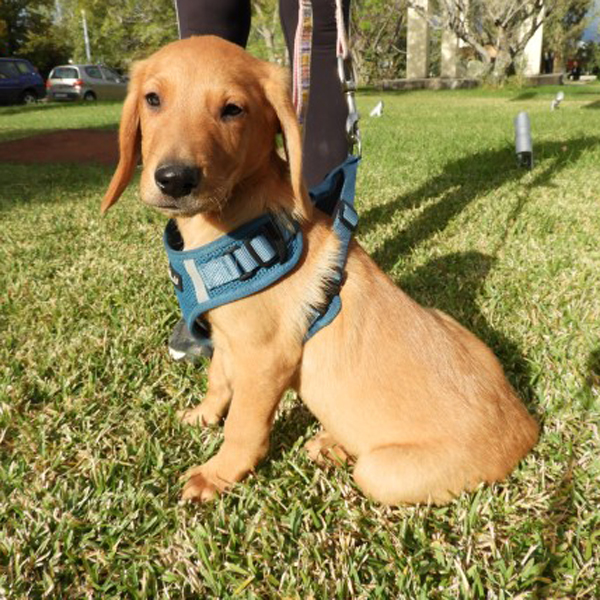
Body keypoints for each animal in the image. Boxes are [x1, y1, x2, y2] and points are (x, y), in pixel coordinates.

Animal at [102, 36, 538, 505]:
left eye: (233, 109)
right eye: (152, 99)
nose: (174, 180)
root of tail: (526, 426)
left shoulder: (265, 358)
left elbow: (243, 427)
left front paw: (217, 474)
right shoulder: (226, 339)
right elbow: (218, 383)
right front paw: (202, 416)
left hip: (383, 474)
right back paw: (330, 442)